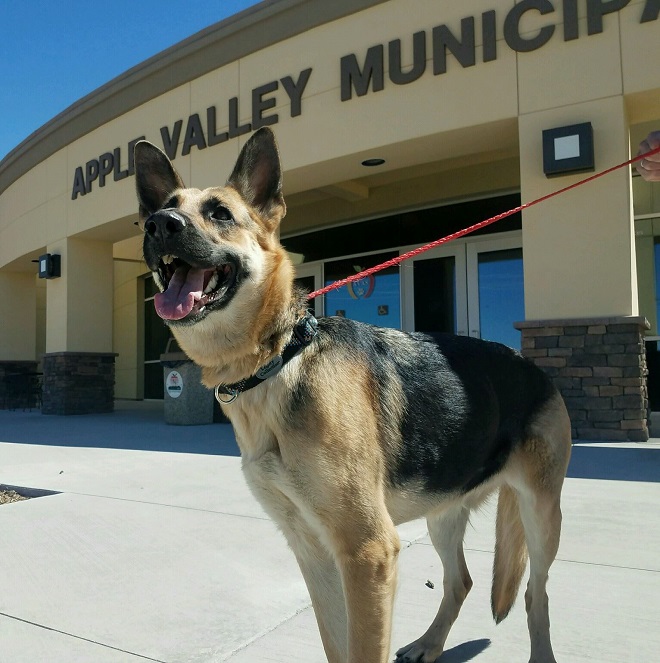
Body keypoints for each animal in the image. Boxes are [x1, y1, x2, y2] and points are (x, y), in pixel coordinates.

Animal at [134, 127, 572, 660]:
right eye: (165, 208)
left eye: (220, 213)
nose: (158, 224)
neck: (278, 359)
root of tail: (529, 364)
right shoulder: (315, 551)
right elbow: (336, 645)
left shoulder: (368, 551)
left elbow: (363, 647)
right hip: (443, 510)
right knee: (462, 581)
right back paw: (429, 643)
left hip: (541, 514)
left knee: (536, 591)